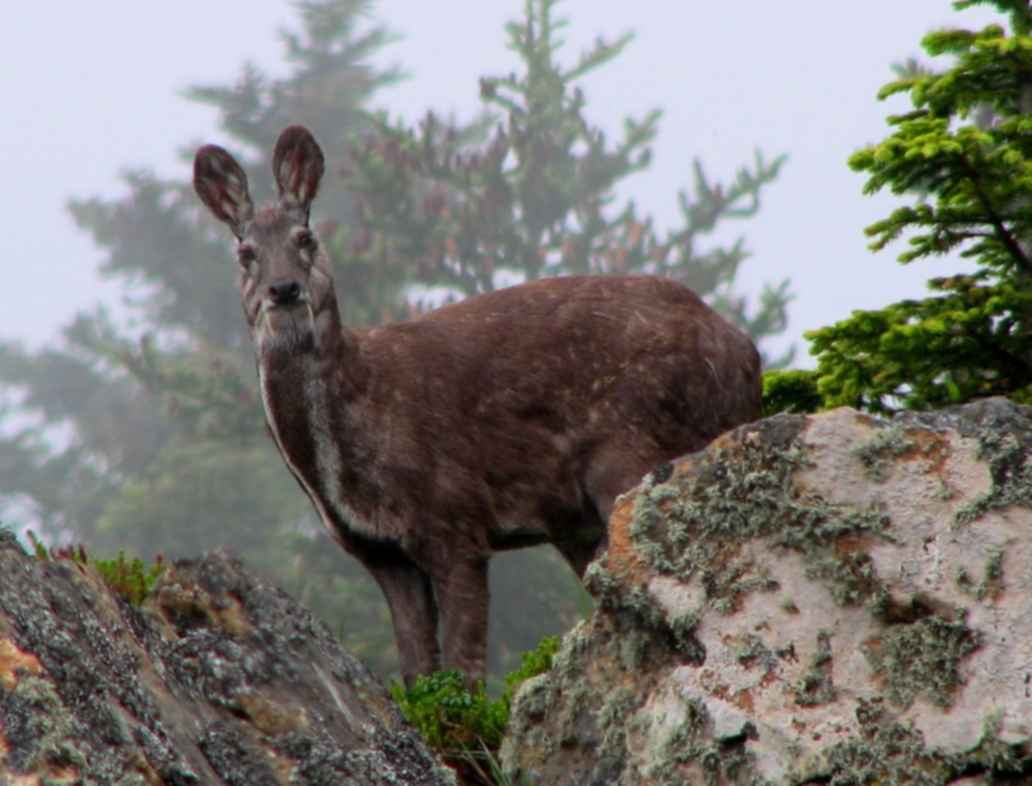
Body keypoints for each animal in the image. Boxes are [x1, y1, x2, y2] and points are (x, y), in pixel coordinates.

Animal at [194, 125, 763, 684]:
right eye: (245, 252)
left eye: (305, 239)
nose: (284, 289)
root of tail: (745, 354)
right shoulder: (380, 552)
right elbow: (417, 672)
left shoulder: (455, 516)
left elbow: (464, 671)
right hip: (577, 517)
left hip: (633, 447)